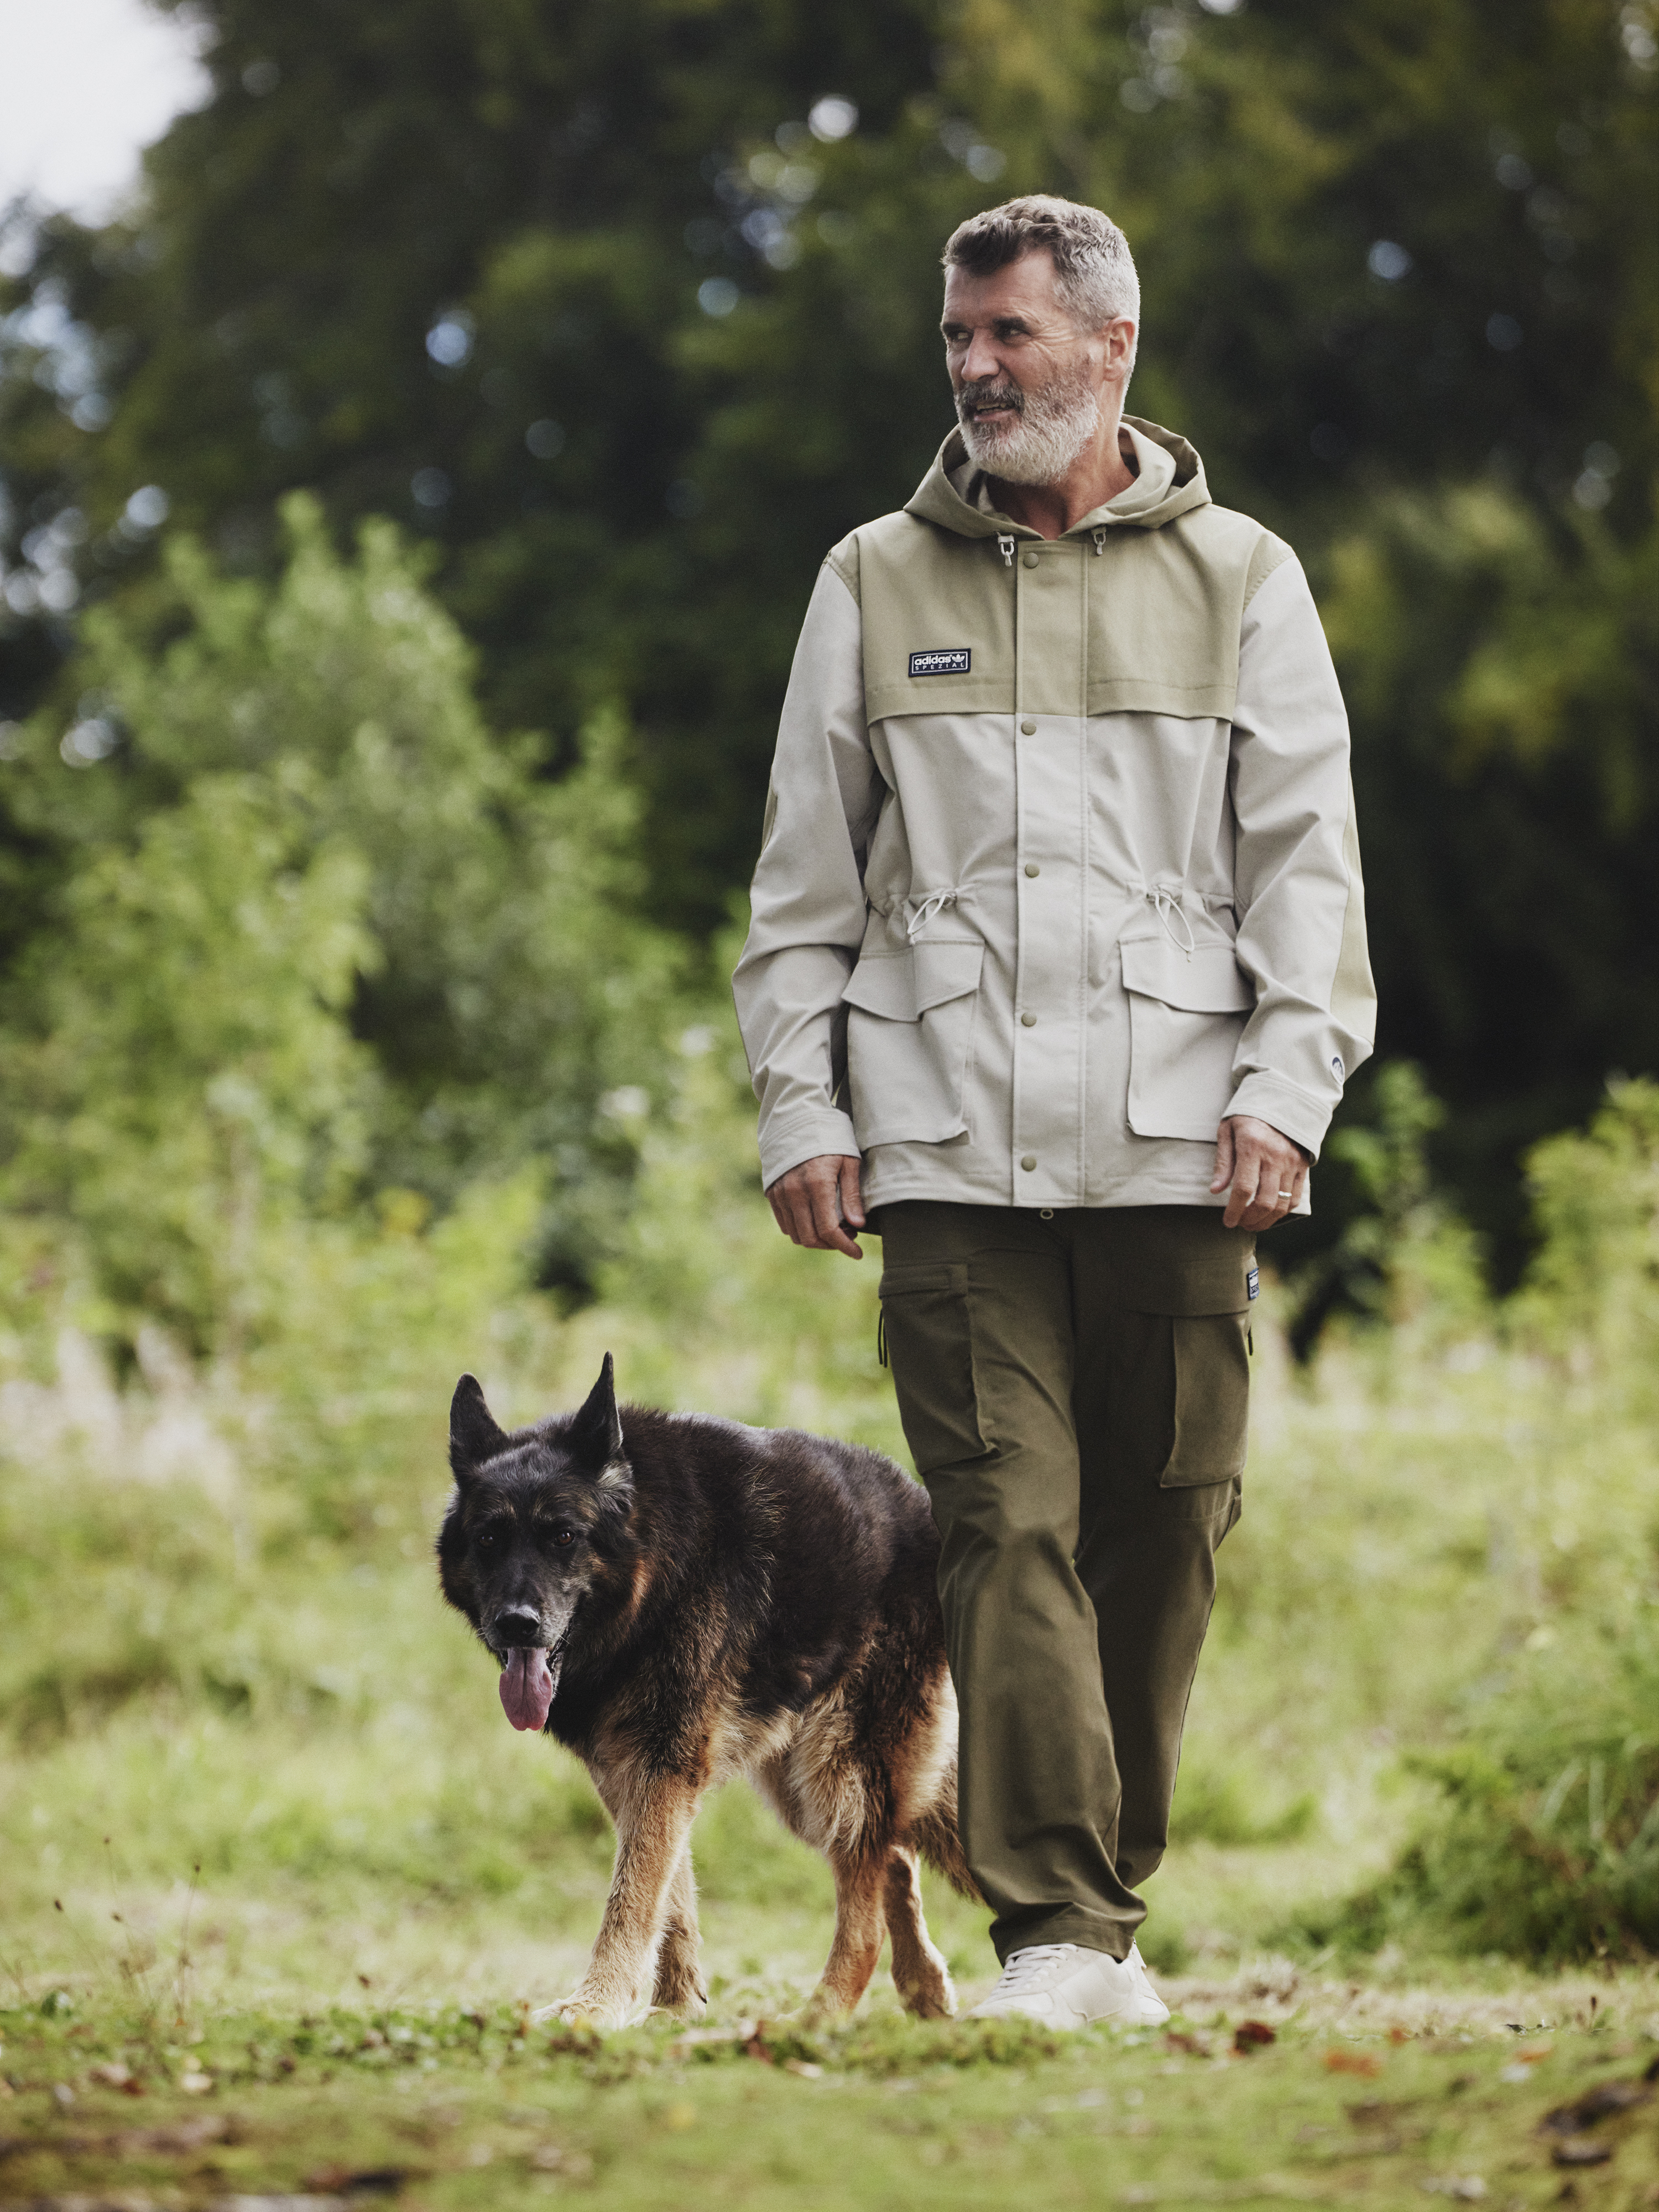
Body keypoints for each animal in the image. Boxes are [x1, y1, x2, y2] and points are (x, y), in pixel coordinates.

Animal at [438, 1345, 973, 2026]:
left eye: (563, 1536)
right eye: (489, 1539)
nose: (516, 1624)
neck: (655, 1573)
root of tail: (928, 1511)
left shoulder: (663, 1764)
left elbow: (633, 1896)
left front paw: (596, 2004)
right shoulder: (634, 1771)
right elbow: (671, 1894)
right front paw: (674, 2007)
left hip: (836, 1773)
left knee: (867, 1914)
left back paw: (817, 2019)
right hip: (807, 1784)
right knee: (896, 1860)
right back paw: (924, 1989)